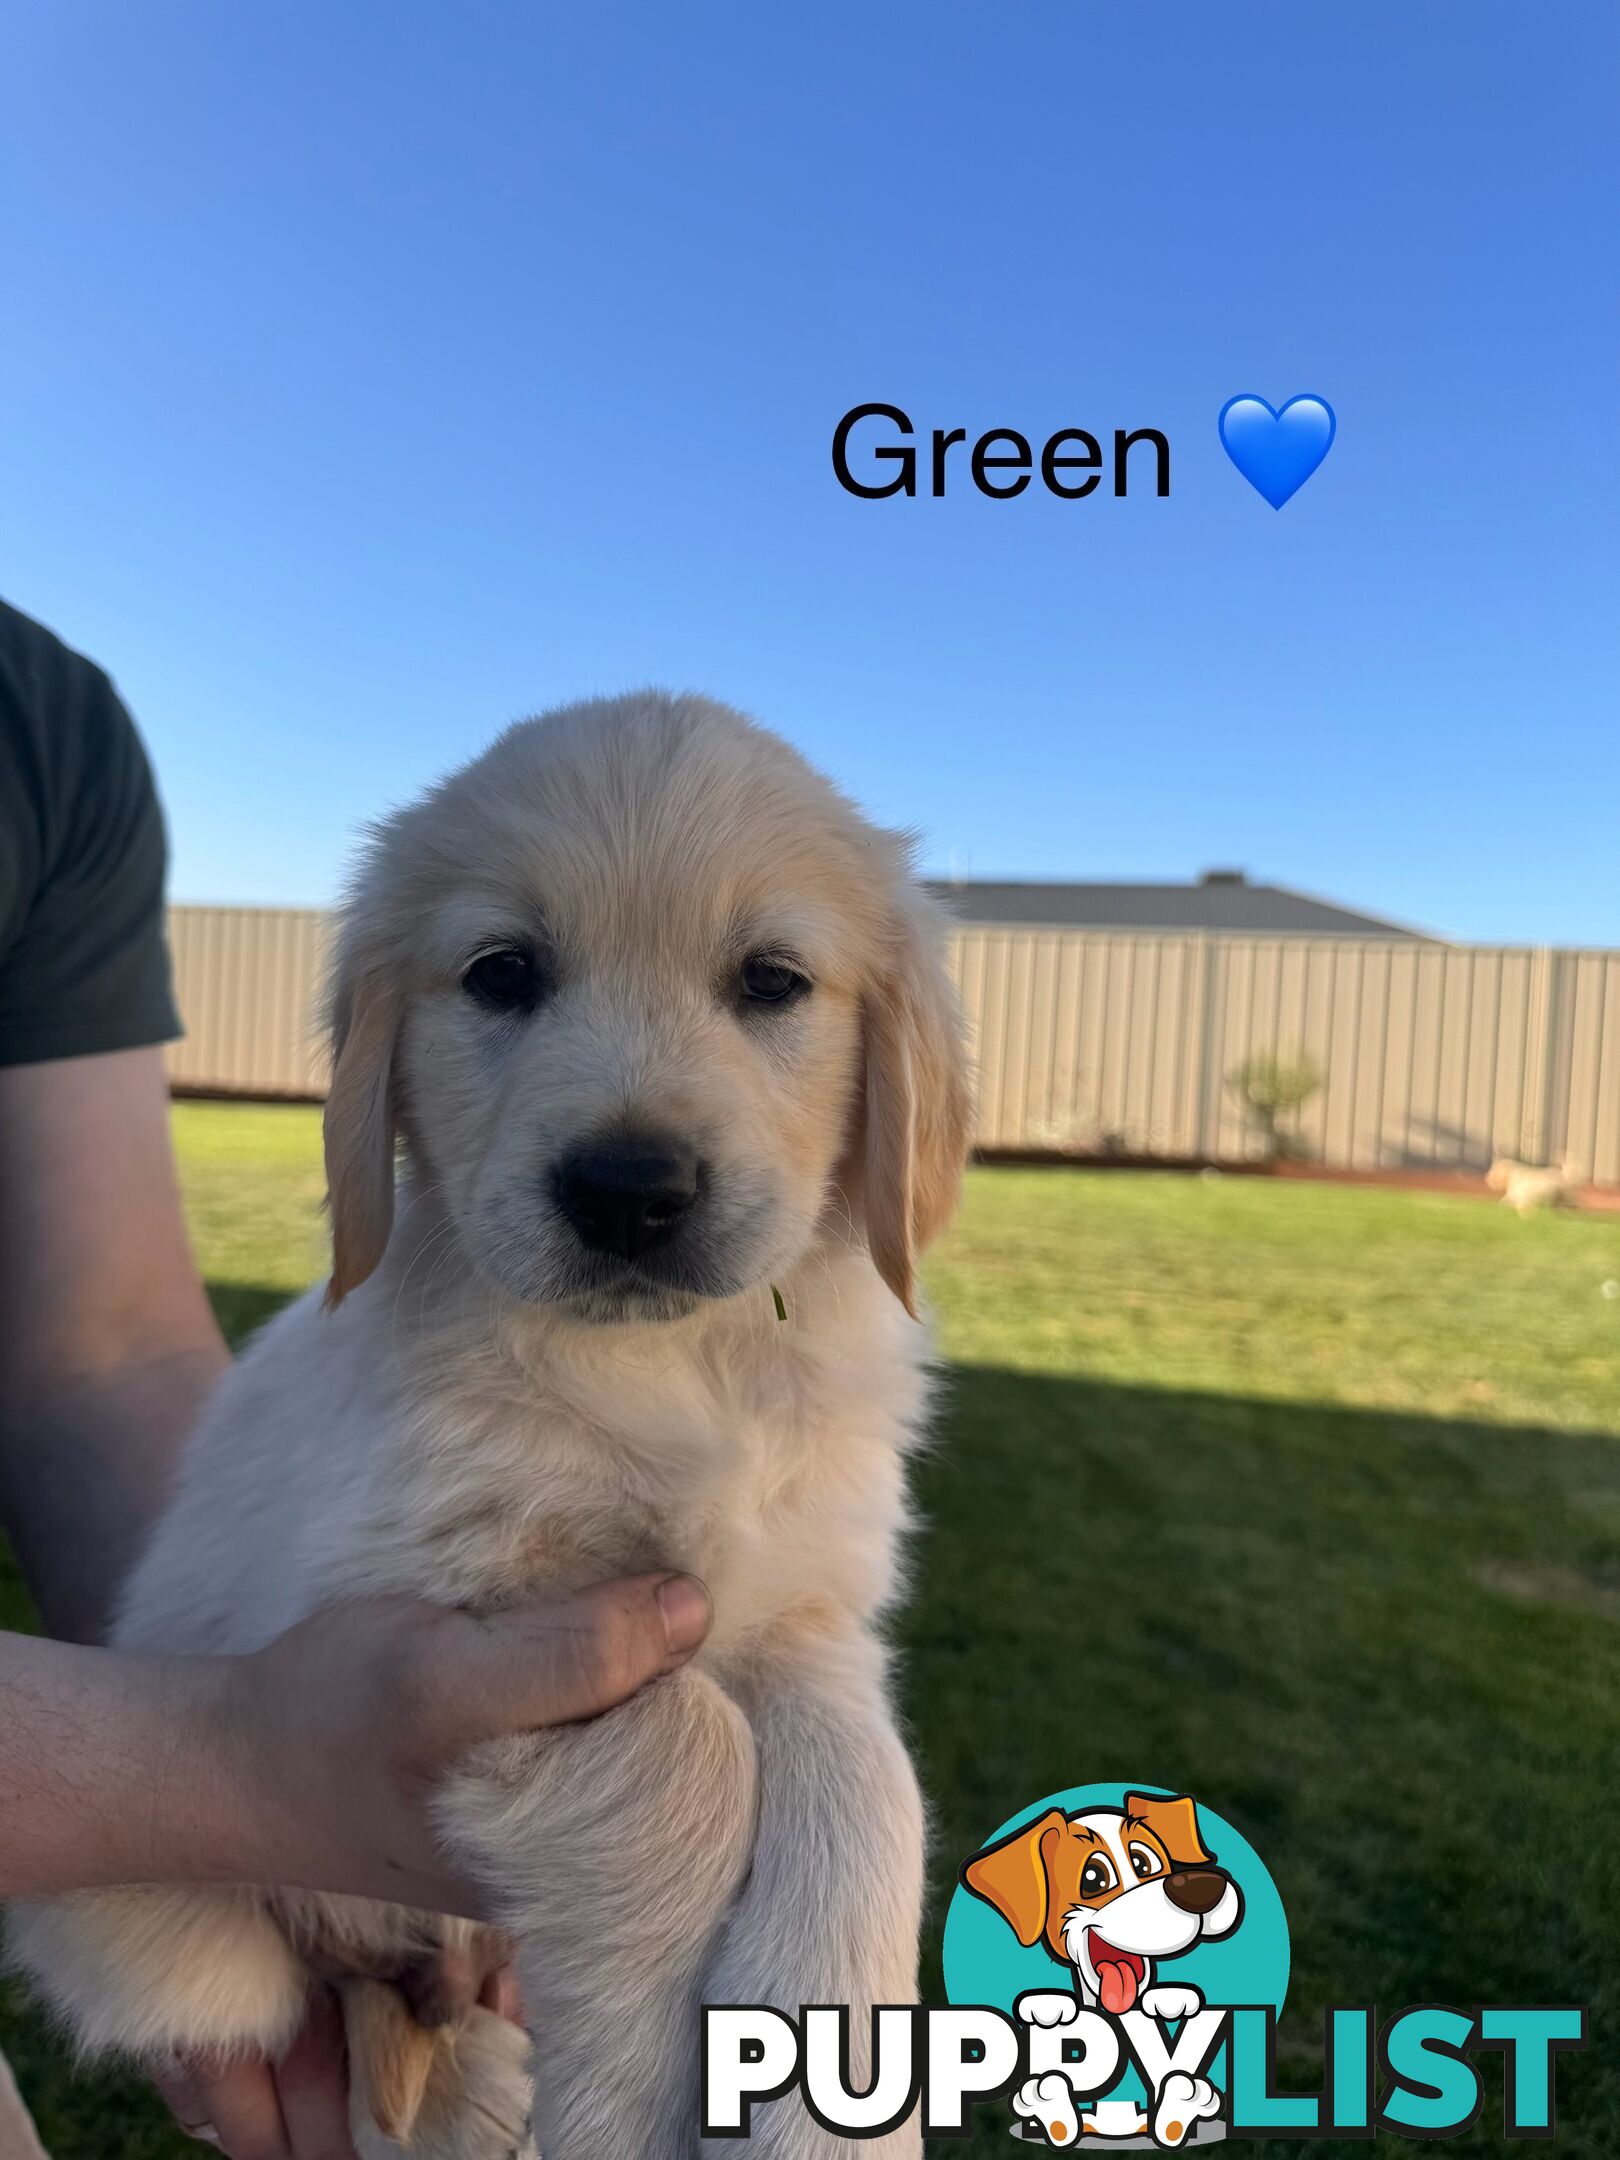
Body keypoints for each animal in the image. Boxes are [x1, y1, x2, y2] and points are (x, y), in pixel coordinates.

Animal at [6, 695, 972, 2160]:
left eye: (772, 982)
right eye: (503, 974)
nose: (629, 1190)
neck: (673, 1362)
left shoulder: (805, 1605)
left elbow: (869, 1783)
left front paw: (823, 2103)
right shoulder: (445, 1612)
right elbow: (693, 1747)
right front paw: (625, 2112)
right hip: (174, 1934)